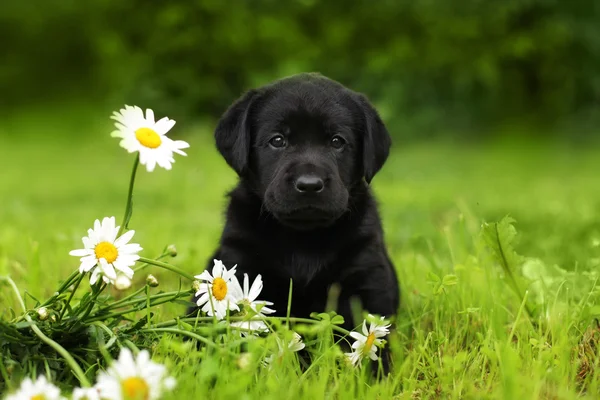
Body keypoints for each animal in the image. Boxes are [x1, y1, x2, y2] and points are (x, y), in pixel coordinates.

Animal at [190, 72, 400, 366]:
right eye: (278, 140)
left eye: (337, 141)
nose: (309, 184)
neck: (303, 239)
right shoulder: (241, 263)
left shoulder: (367, 276)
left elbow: (372, 336)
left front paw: (376, 372)